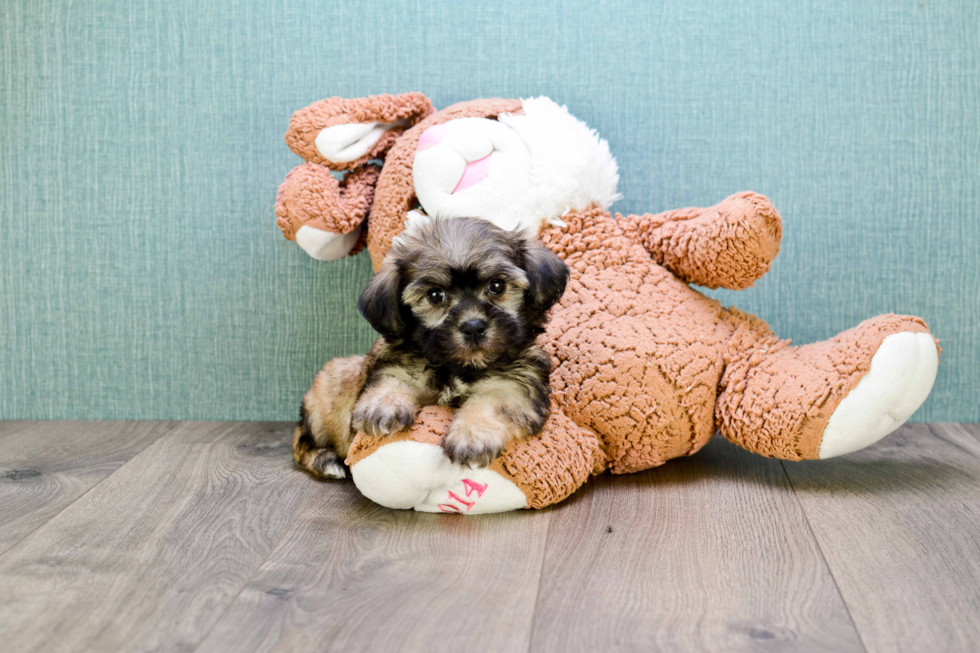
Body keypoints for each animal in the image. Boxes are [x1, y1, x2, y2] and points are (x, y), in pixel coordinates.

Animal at [292, 216, 568, 476]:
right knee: (301, 441)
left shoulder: (515, 382)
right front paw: (384, 406)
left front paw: (472, 435)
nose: (474, 326)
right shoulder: (403, 363)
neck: (458, 367)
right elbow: (395, 379)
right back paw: (325, 460)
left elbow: (493, 401)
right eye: (435, 295)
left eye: (497, 285)